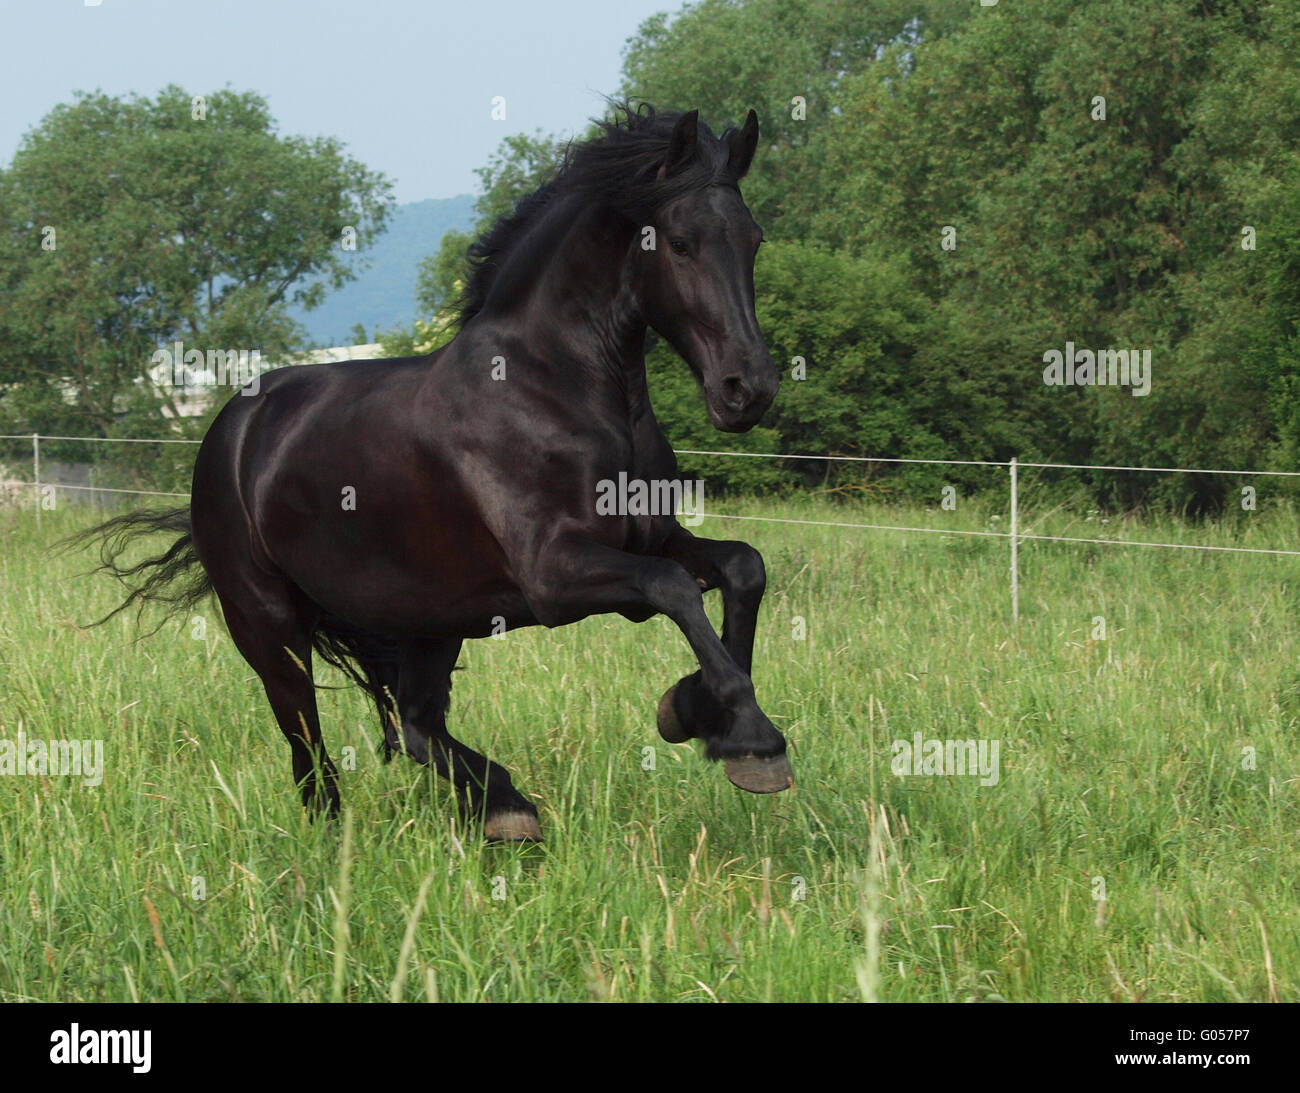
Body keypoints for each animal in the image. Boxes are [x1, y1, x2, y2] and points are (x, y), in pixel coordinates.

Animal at [74, 104, 789, 841]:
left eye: (753, 238)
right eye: (679, 242)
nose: (748, 389)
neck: (554, 387)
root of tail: (231, 429)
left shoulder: (651, 536)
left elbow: (743, 567)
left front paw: (695, 710)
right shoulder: (553, 576)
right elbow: (672, 588)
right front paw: (751, 739)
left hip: (431, 615)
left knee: (416, 727)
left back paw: (507, 810)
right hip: (268, 624)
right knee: (310, 751)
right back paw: (349, 841)